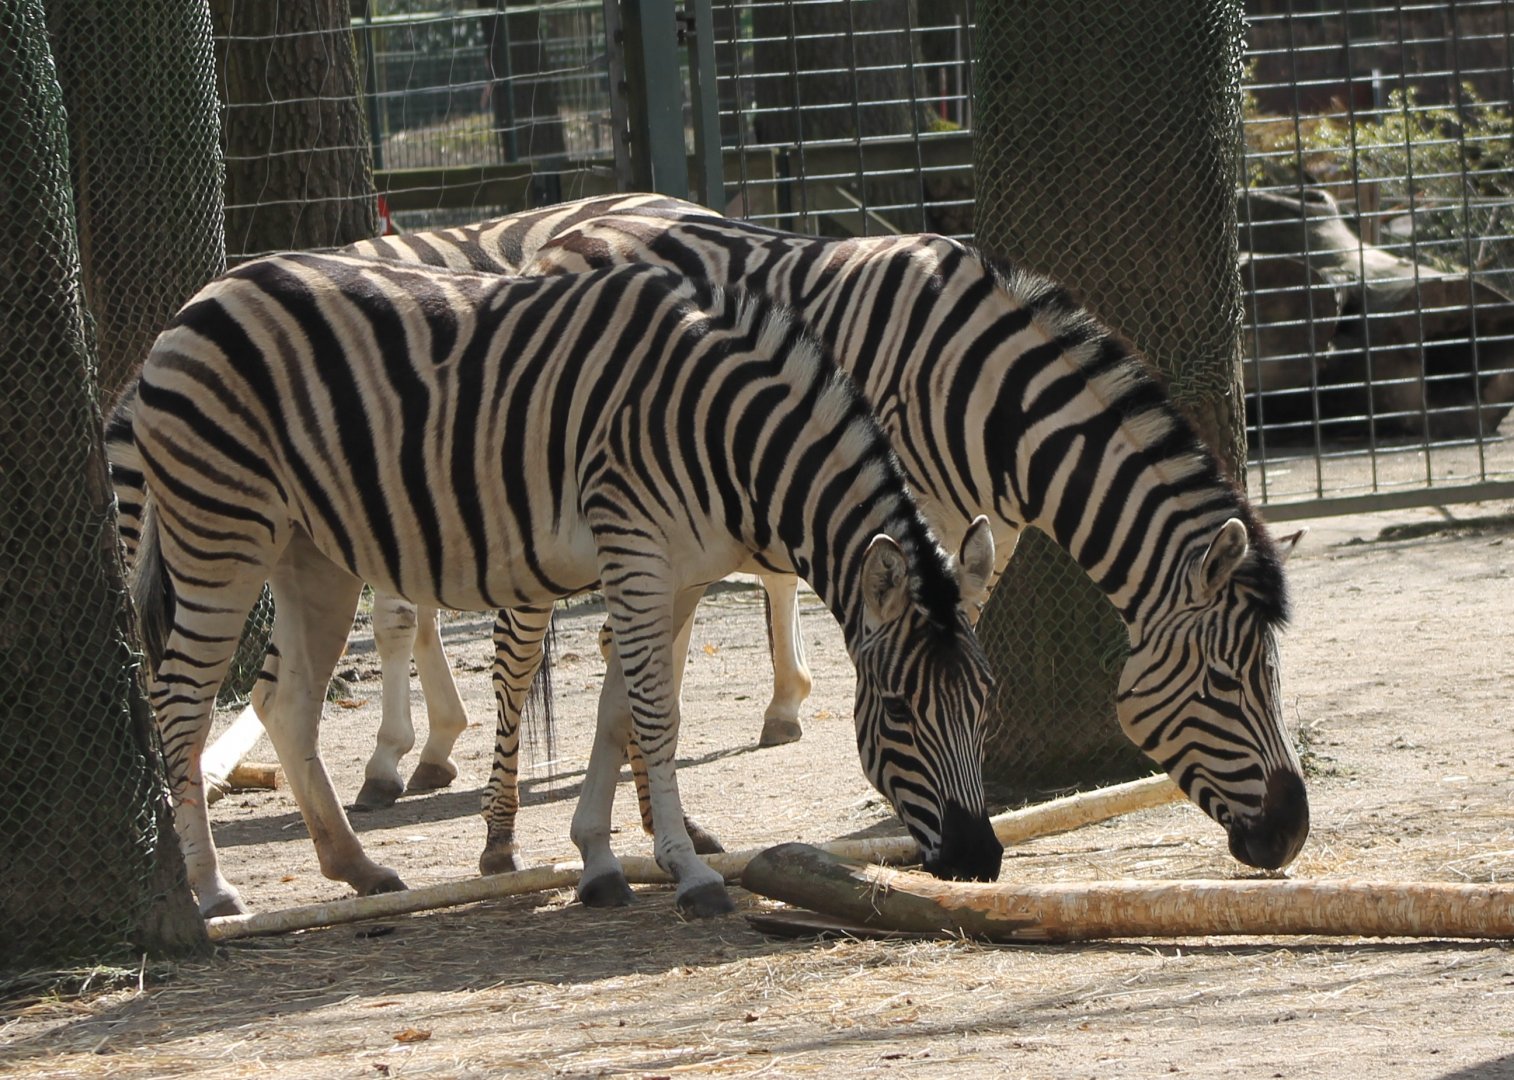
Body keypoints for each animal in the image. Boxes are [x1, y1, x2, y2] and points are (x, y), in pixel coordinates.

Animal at [128, 252, 1002, 918]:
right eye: (898, 711)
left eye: (985, 704)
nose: (981, 859)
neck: (728, 431)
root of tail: (199, 299)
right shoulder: (636, 551)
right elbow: (657, 717)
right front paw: (689, 872)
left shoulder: (676, 575)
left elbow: (623, 716)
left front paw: (599, 862)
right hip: (219, 531)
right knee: (179, 702)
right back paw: (211, 892)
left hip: (308, 553)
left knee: (286, 702)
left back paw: (358, 868)